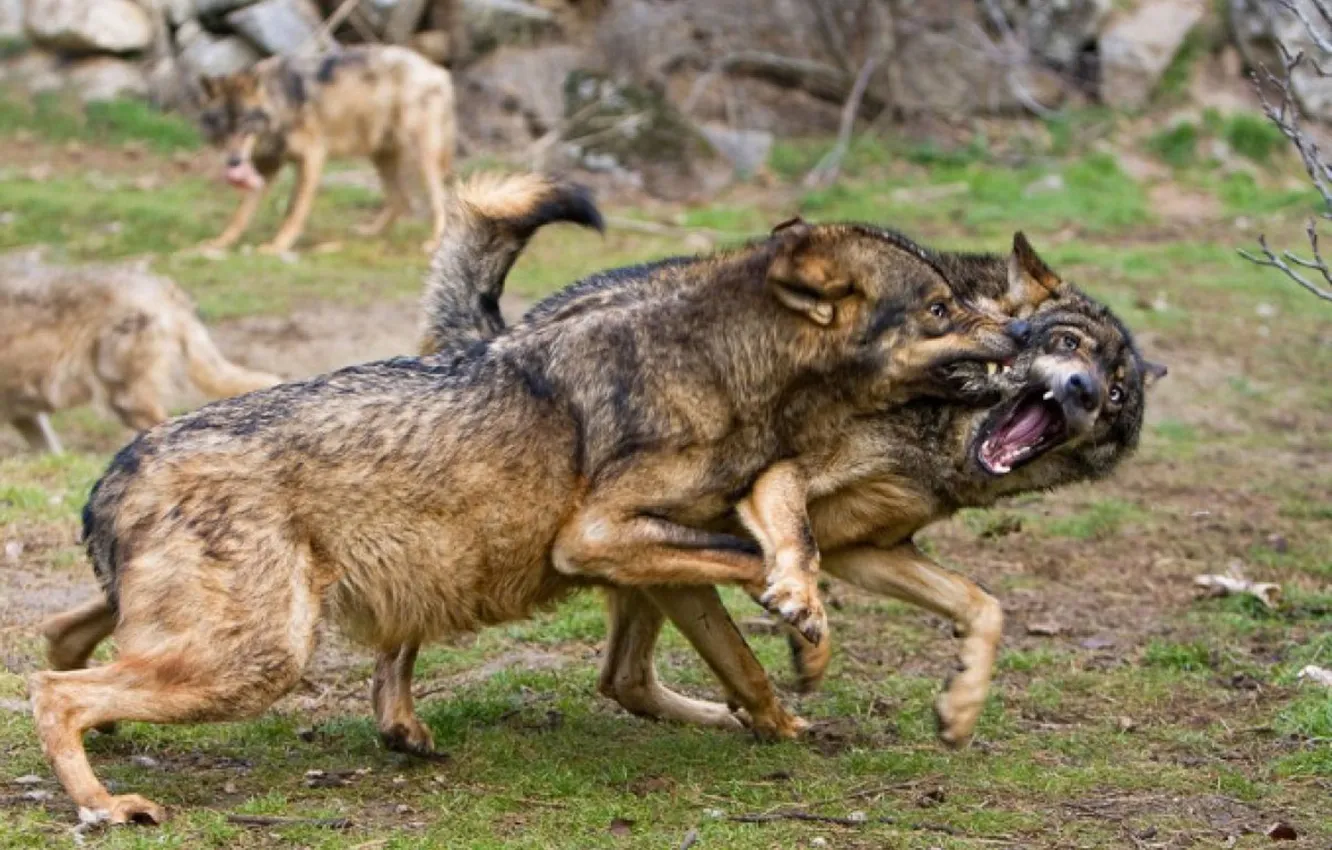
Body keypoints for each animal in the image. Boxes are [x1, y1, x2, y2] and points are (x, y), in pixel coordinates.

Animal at [31, 175, 1025, 824]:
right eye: (940, 310)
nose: (1022, 335)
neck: (723, 364)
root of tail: (114, 472)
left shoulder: (665, 553)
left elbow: (749, 638)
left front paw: (786, 701)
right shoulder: (596, 538)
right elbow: (757, 565)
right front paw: (801, 626)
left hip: (218, 628)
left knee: (63, 638)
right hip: (256, 659)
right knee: (53, 688)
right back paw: (104, 803)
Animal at [196, 45, 455, 254]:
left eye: (244, 125)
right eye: (223, 127)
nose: (234, 162)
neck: (281, 102)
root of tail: (436, 70)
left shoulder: (312, 158)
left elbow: (293, 210)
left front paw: (278, 246)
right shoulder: (266, 166)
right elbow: (240, 214)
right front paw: (220, 242)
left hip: (423, 160)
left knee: (440, 200)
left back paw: (435, 243)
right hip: (381, 157)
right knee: (401, 200)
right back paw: (369, 232)